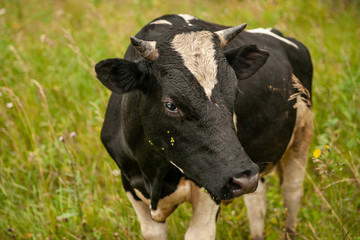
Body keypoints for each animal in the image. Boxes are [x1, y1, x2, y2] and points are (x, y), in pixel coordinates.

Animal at [95, 13, 312, 240]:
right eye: (171, 105)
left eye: (234, 93)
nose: (243, 178)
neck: (154, 175)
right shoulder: (129, 182)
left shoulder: (211, 185)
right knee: (257, 202)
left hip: (301, 135)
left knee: (292, 191)